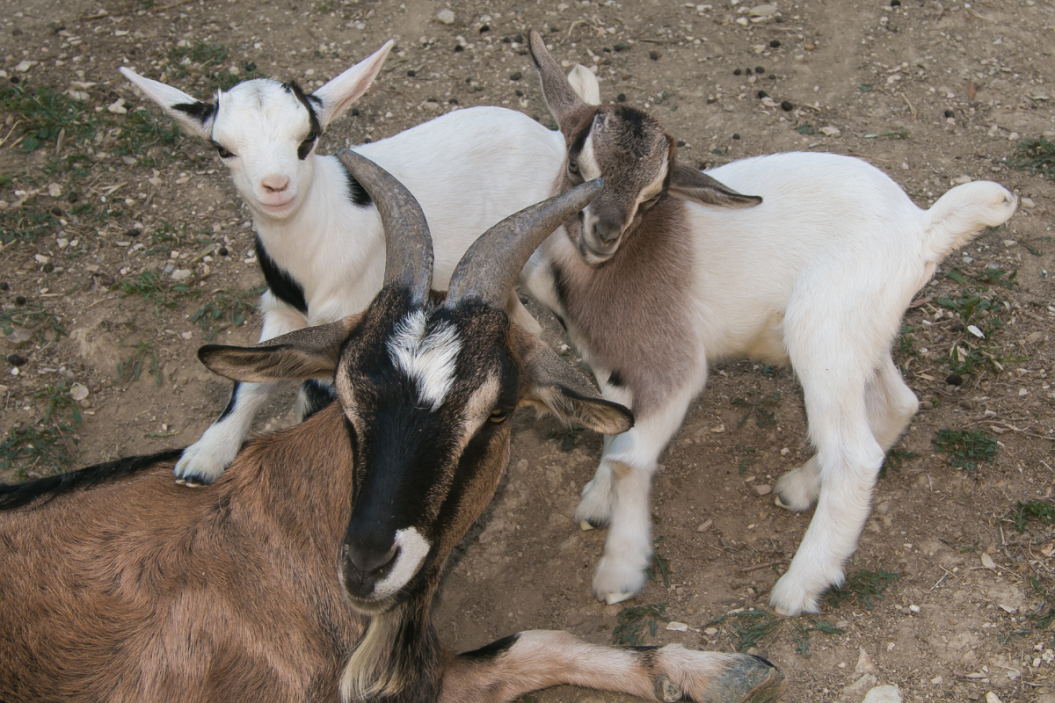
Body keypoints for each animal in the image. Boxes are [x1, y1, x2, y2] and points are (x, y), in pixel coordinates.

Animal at [0, 152, 785, 703]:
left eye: (498, 411)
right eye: (345, 398)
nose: (366, 566)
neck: (272, 531)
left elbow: (529, 643)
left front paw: (715, 668)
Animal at [119, 42, 566, 487]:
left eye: (307, 140)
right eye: (223, 149)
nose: (275, 186)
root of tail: (551, 136)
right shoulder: (283, 309)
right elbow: (251, 377)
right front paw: (205, 456)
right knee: (528, 324)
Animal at [519, 30, 1018, 616]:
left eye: (654, 195)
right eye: (577, 169)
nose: (605, 233)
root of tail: (921, 227)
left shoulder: (673, 364)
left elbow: (631, 458)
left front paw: (620, 571)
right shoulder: (612, 362)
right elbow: (614, 426)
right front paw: (598, 501)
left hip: (820, 334)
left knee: (855, 455)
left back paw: (800, 585)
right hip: (860, 333)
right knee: (897, 402)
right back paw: (801, 486)